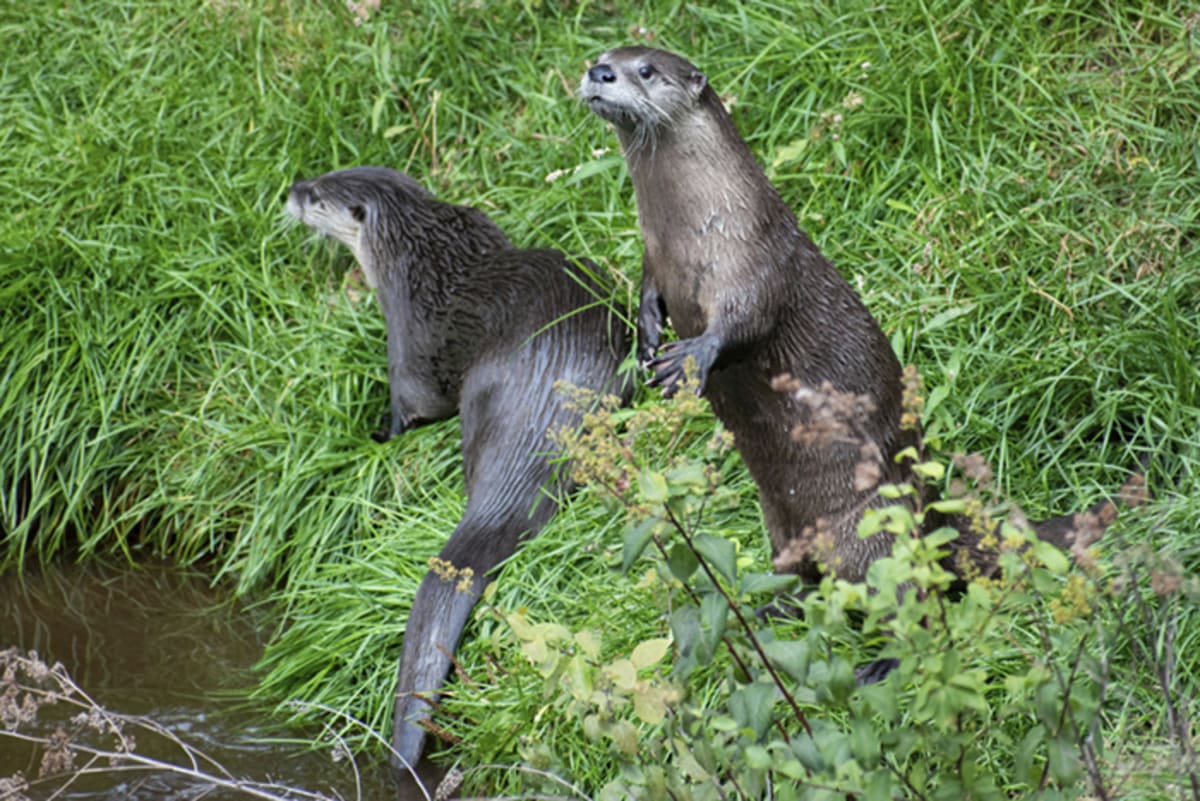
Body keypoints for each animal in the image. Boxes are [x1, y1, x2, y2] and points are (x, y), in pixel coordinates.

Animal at [286, 166, 630, 770]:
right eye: (320, 176)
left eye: (318, 195)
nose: (291, 190)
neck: (418, 256)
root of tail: (546, 417)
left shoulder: (406, 336)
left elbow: (415, 401)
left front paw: (376, 436)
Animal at [580, 48, 1119, 636]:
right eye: (602, 57)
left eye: (645, 70)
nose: (598, 72)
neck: (690, 232)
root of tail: (934, 519)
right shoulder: (654, 259)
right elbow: (646, 293)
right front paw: (647, 340)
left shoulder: (752, 255)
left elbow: (746, 319)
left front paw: (690, 358)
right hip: (782, 524)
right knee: (802, 579)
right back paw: (768, 611)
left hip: (872, 529)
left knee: (905, 597)